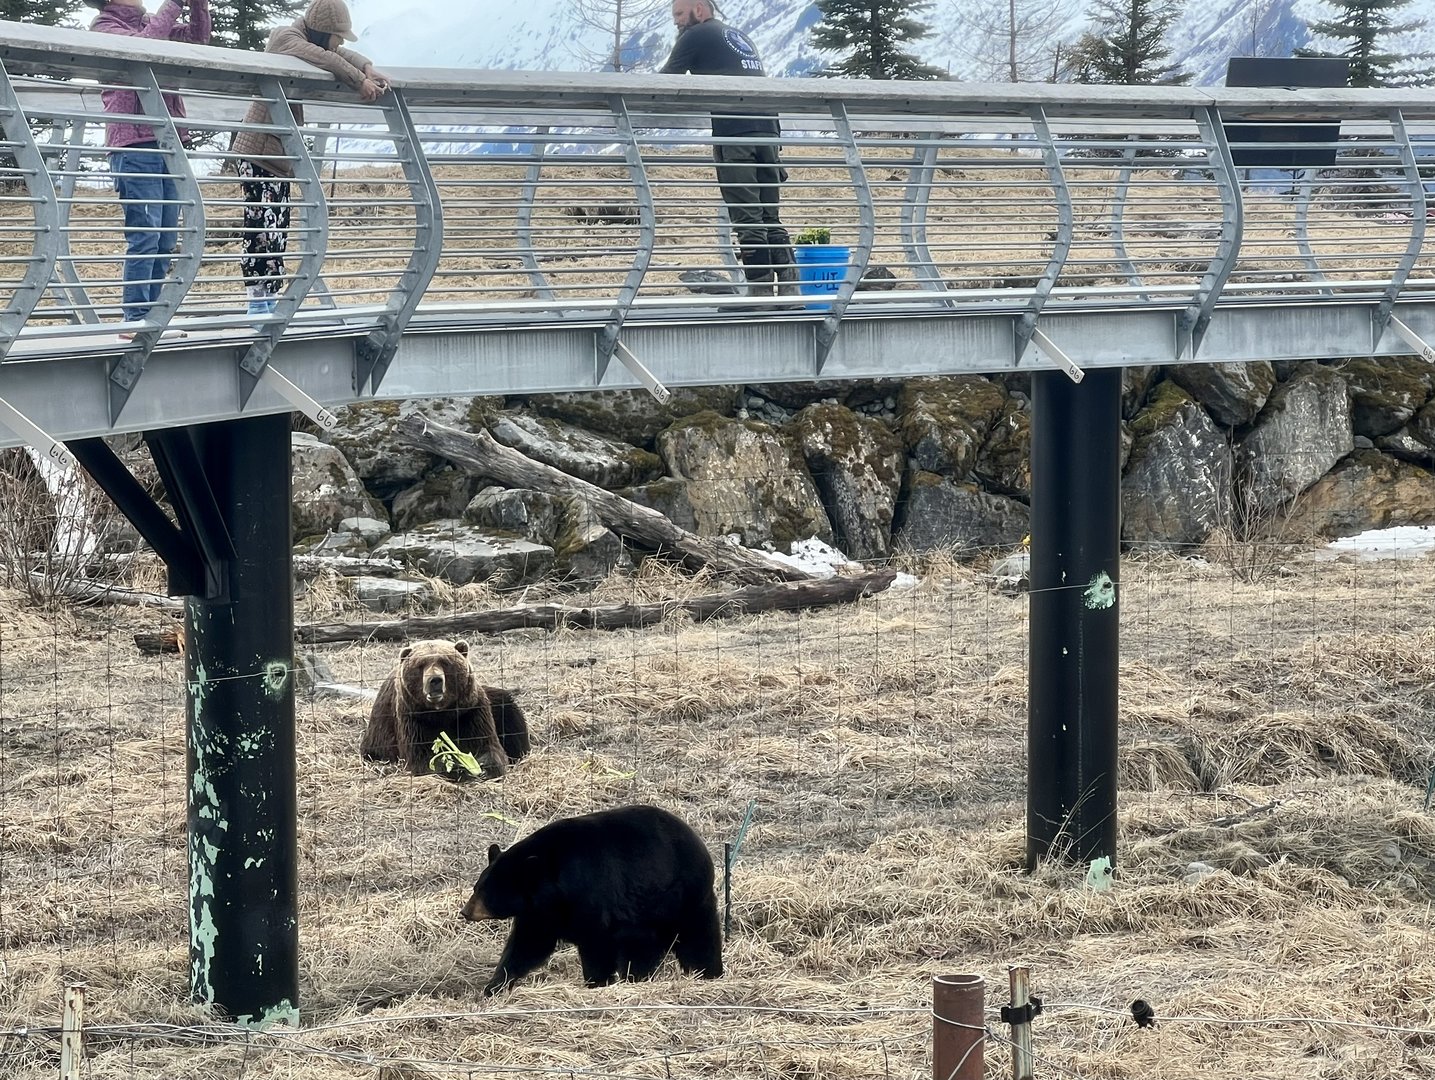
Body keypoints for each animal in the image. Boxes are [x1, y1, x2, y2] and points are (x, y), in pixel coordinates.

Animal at [360, 638, 530, 781]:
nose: (435, 680)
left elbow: (489, 746)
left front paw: (481, 766)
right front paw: (457, 767)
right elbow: (422, 757)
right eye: (420, 665)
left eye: (445, 662)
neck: (441, 713)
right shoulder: (413, 717)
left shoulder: (470, 710)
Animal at [461, 804, 724, 995]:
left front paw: (597, 983)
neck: (553, 889)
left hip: (678, 899)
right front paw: (494, 986)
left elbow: (596, 945)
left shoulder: (590, 899)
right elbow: (527, 945)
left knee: (697, 938)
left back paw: (707, 973)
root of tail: (701, 845)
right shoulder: (540, 914)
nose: (465, 911)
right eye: (477, 887)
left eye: (486, 893)